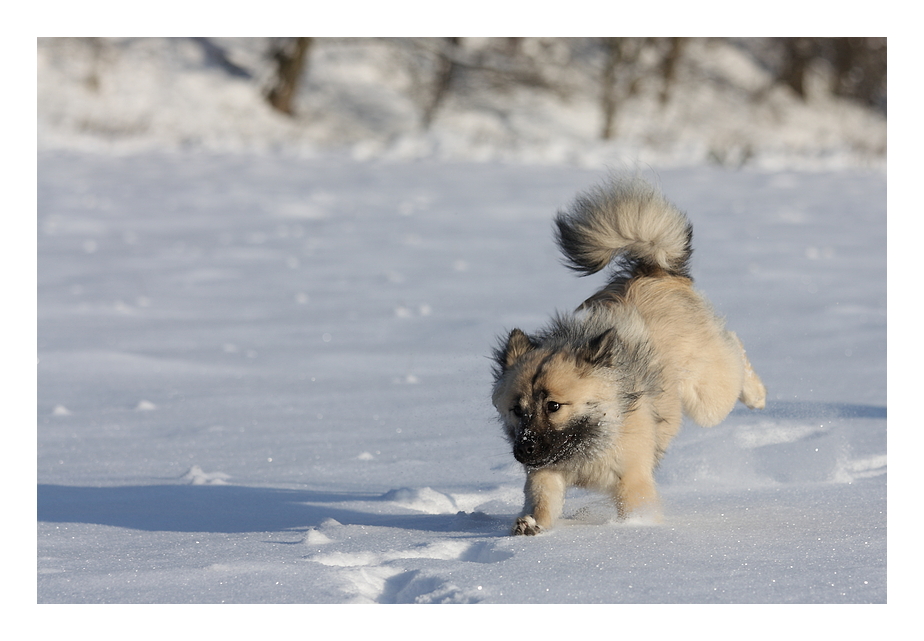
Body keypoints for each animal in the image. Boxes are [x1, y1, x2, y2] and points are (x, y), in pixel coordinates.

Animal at [490, 175, 764, 536]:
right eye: (517, 410)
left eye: (554, 406)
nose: (524, 449)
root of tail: (654, 271)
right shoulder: (545, 470)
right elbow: (543, 498)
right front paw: (531, 525)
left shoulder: (631, 477)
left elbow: (635, 506)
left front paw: (634, 531)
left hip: (707, 399)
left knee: (733, 348)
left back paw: (757, 394)